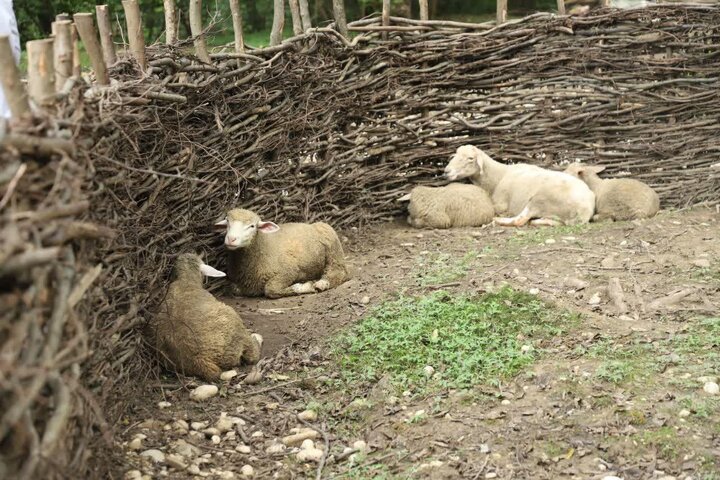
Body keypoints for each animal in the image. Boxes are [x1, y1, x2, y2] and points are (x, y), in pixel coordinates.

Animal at [214, 208, 348, 298]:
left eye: (252, 226)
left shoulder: (289, 271)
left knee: (338, 272)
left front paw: (304, 287)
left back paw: (322, 283)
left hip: (333, 250)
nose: (231, 239)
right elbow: (233, 289)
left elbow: (270, 289)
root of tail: (311, 224)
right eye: (227, 223)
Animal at [444, 144, 596, 227]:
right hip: (555, 216)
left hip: (539, 199)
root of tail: (585, 211)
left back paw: (497, 219)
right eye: (455, 155)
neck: (498, 176)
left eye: (470, 158)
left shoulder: (499, 204)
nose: (446, 171)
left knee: (519, 220)